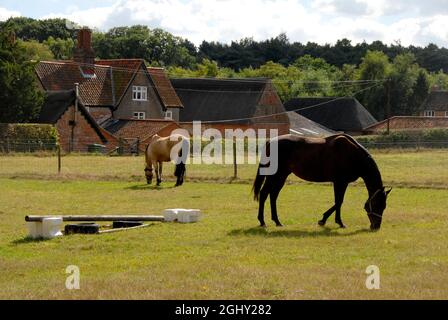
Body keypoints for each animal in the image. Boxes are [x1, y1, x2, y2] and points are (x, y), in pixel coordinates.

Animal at [254, 134, 390, 231]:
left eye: (384, 206)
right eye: (377, 204)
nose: (376, 226)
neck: (353, 154)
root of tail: (270, 142)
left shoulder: (341, 182)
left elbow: (338, 202)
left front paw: (332, 221)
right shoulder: (340, 182)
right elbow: (339, 202)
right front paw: (329, 221)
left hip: (281, 176)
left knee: (273, 195)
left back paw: (277, 221)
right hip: (274, 176)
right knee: (264, 194)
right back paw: (262, 221)